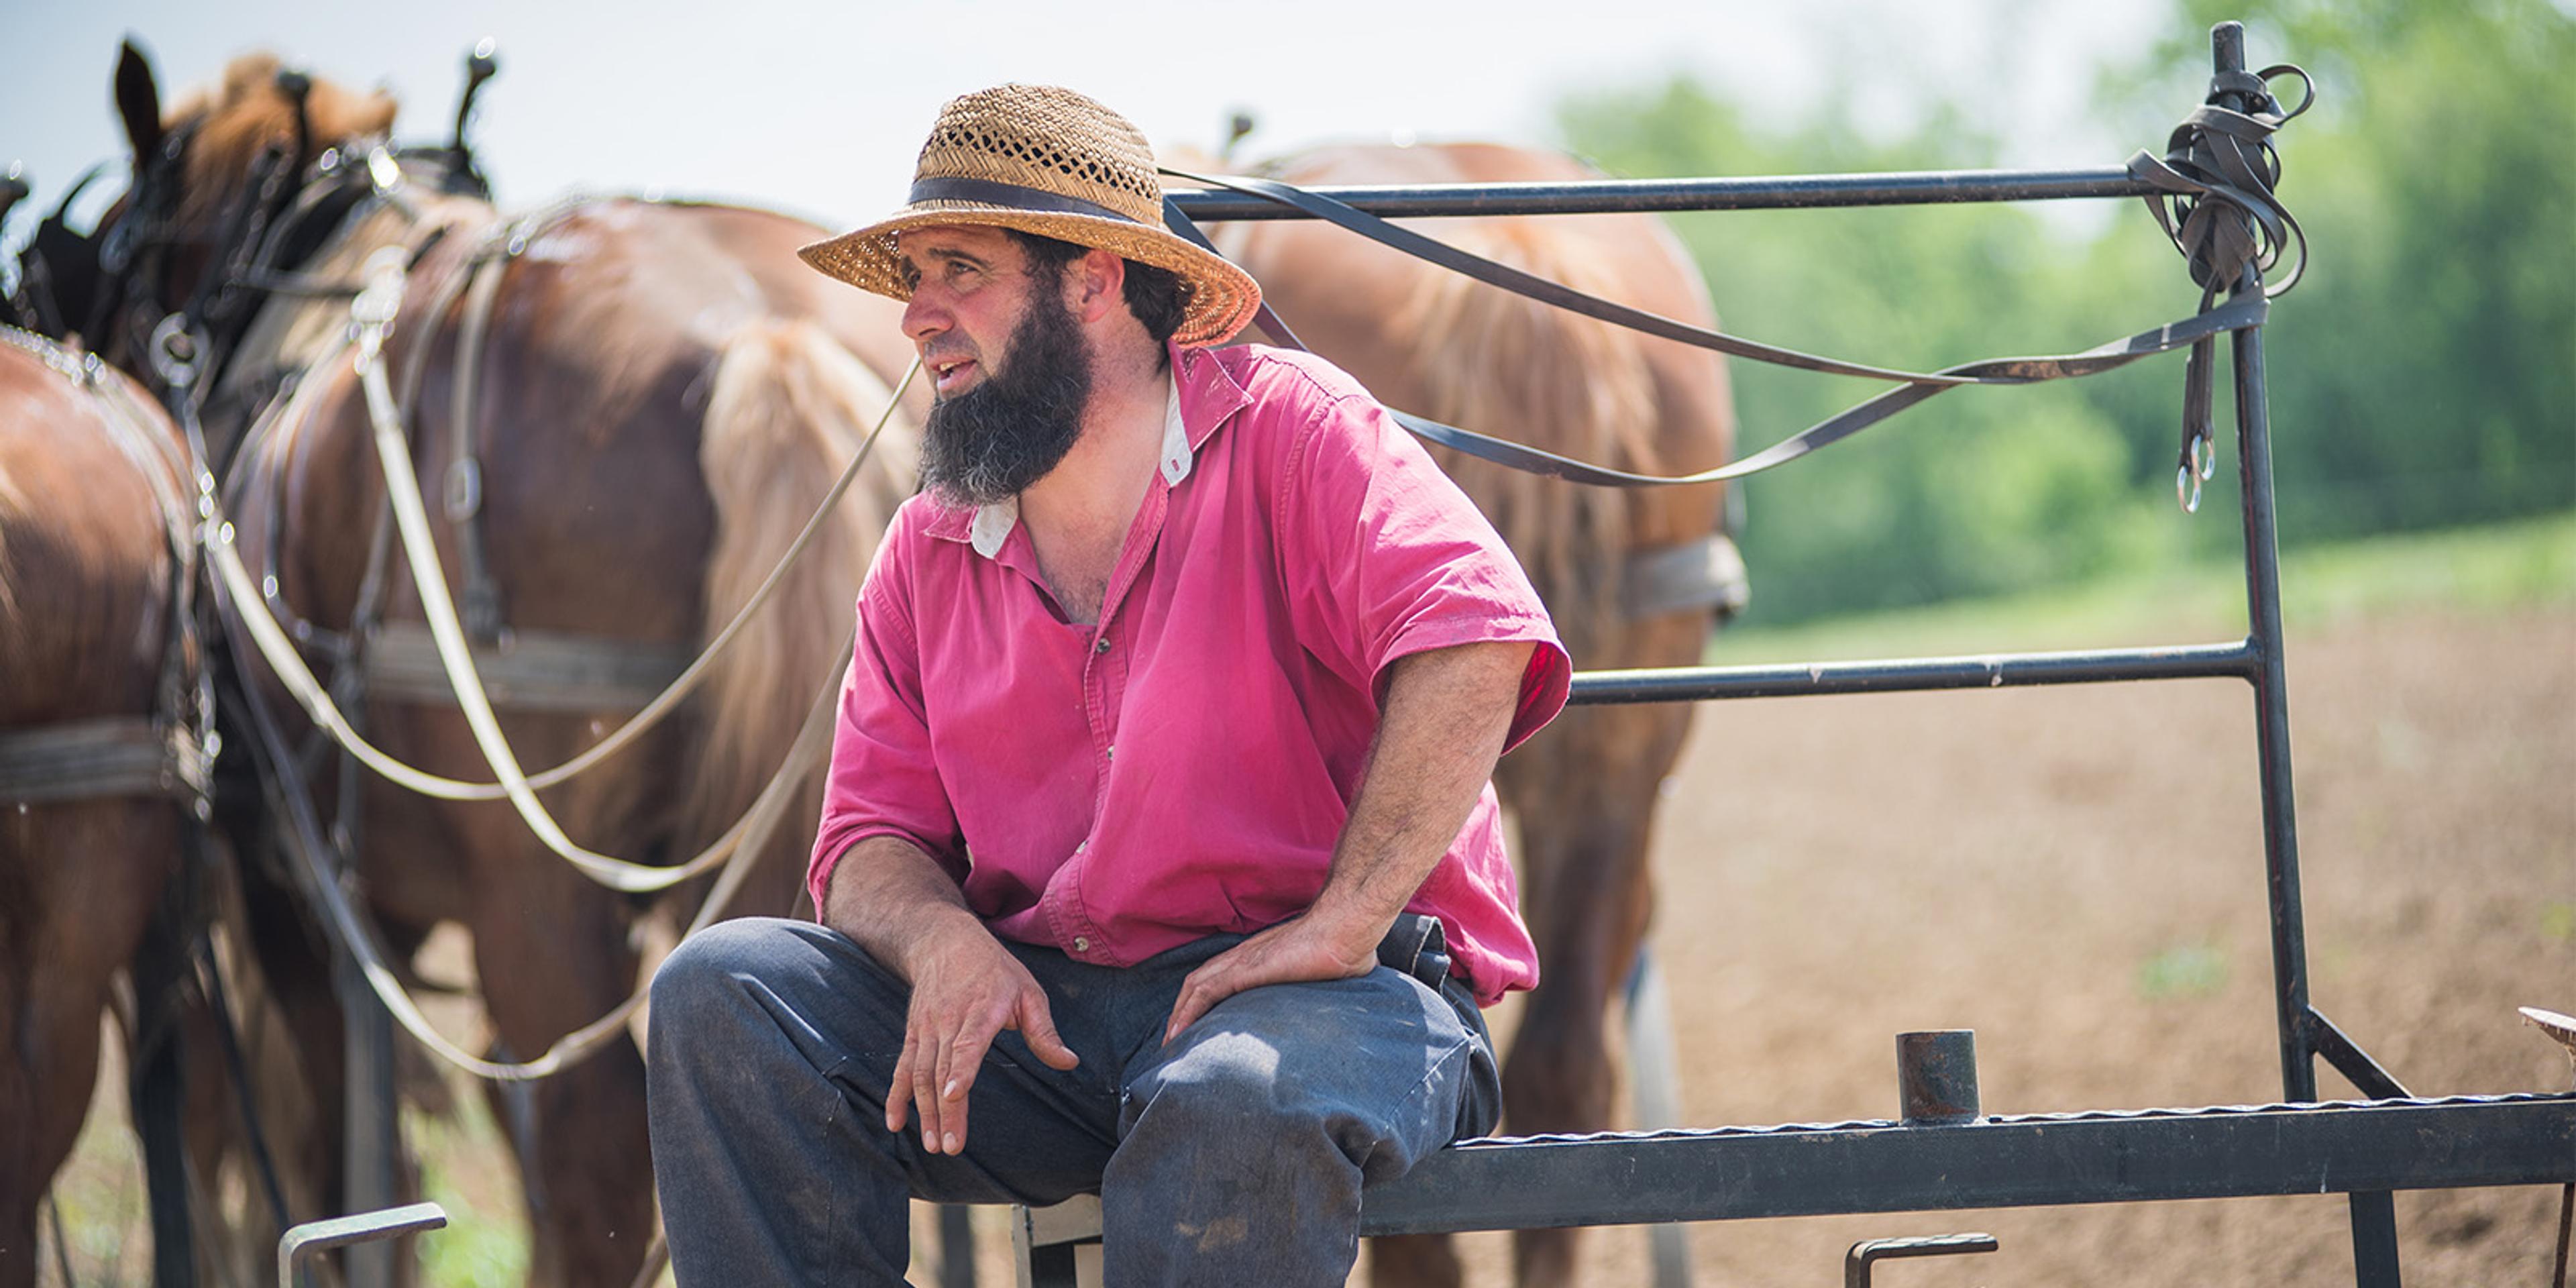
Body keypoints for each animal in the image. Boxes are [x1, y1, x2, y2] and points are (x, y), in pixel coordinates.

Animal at [111, 50, 932, 1288]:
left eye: (116, 242)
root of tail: (766, 335)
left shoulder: (292, 898)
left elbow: (340, 1159)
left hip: (531, 893)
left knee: (597, 1159)